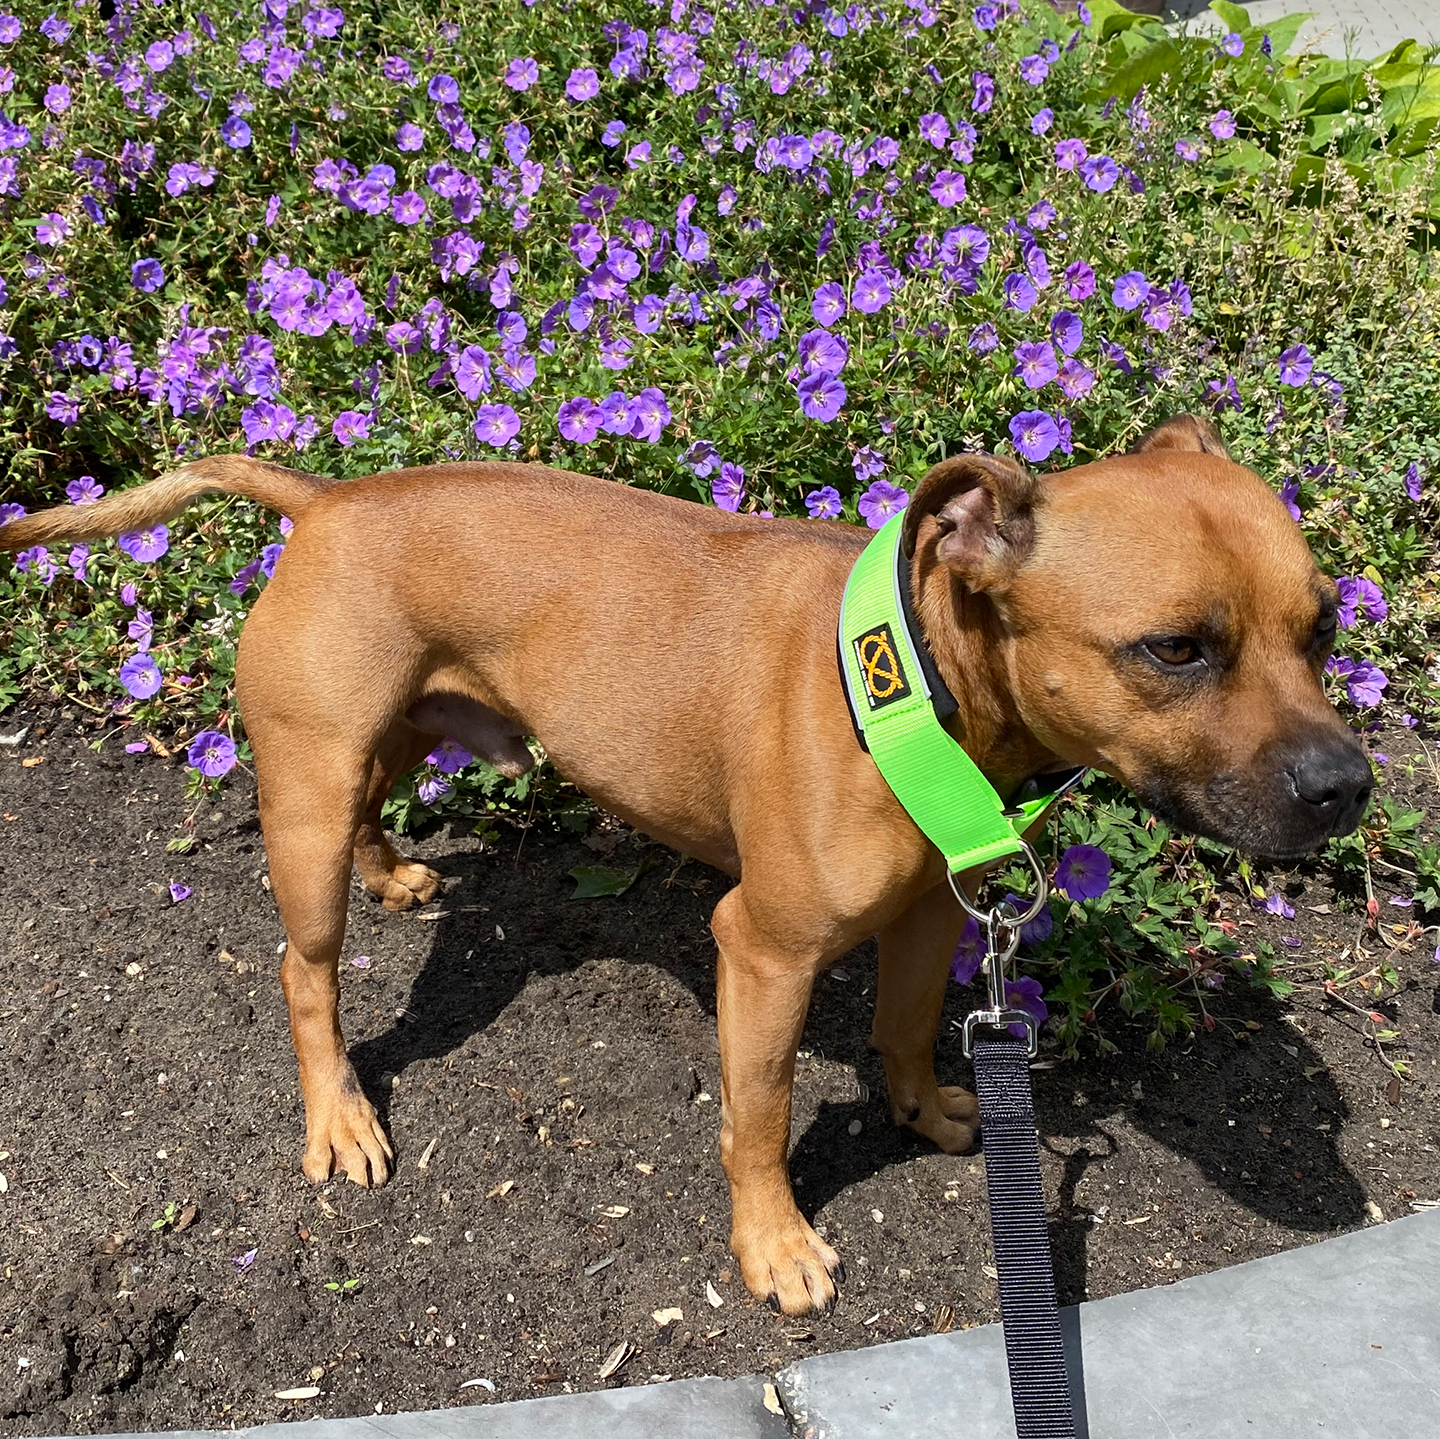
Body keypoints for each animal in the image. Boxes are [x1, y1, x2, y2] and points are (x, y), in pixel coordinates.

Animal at [2, 414, 1370, 1319]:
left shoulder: (931, 915)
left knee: (370, 814)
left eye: (1323, 626)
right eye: (1176, 648)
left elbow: (908, 1023)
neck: (922, 687)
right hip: (311, 799)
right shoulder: (760, 952)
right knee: (305, 967)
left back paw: (391, 871)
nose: (1348, 786)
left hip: (389, 737)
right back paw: (340, 1111)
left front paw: (925, 1106)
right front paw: (775, 1244)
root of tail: (325, 498)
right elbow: (758, 1113)